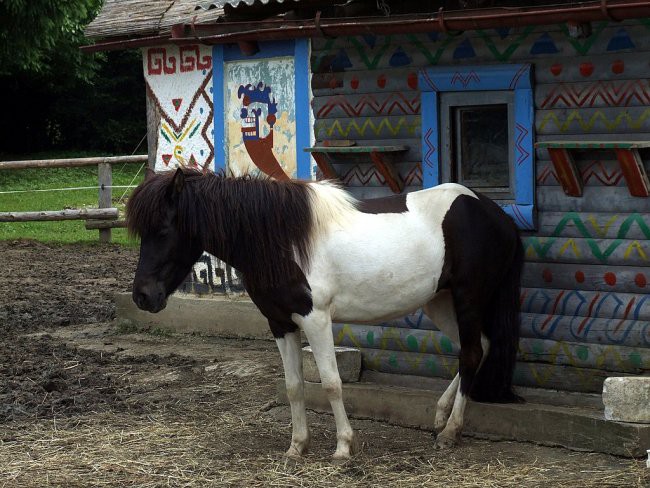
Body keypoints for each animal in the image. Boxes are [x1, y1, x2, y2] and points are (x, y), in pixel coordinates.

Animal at [125, 166, 520, 460]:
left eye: (163, 230)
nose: (142, 296)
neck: (280, 239)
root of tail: (493, 213)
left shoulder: (315, 319)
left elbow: (331, 383)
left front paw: (344, 448)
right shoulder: (280, 323)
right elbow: (294, 386)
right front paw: (296, 448)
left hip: (468, 298)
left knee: (471, 353)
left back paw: (451, 431)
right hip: (439, 301)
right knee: (478, 347)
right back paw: (440, 417)